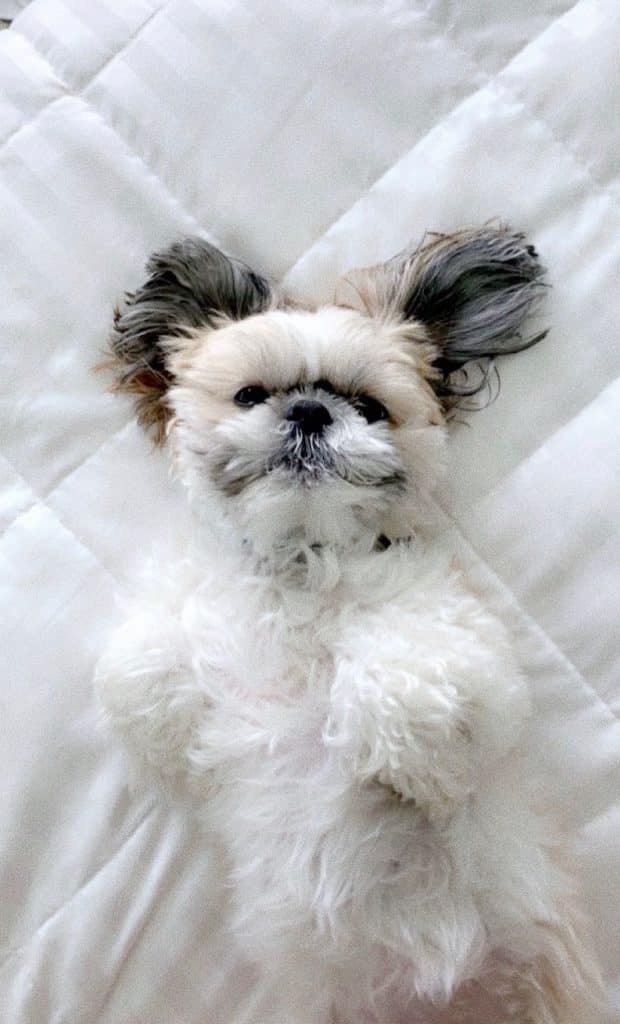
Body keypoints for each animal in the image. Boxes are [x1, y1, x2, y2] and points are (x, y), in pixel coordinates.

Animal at [96, 228, 602, 1024]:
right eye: (250, 394)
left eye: (369, 405)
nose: (309, 411)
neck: (305, 564)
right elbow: (141, 665)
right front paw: (165, 728)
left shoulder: (460, 644)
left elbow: (407, 675)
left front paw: (417, 773)